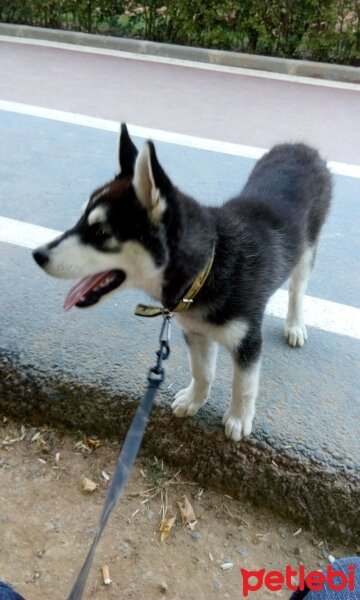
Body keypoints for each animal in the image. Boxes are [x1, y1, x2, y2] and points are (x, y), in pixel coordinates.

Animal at [33, 124, 332, 440]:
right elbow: (202, 372)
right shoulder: (195, 331)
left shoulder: (248, 339)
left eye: (101, 232)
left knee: (297, 289)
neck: (208, 267)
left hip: (308, 249)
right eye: (79, 221)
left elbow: (244, 385)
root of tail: (299, 146)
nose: (37, 255)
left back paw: (295, 325)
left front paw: (239, 418)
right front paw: (194, 400)